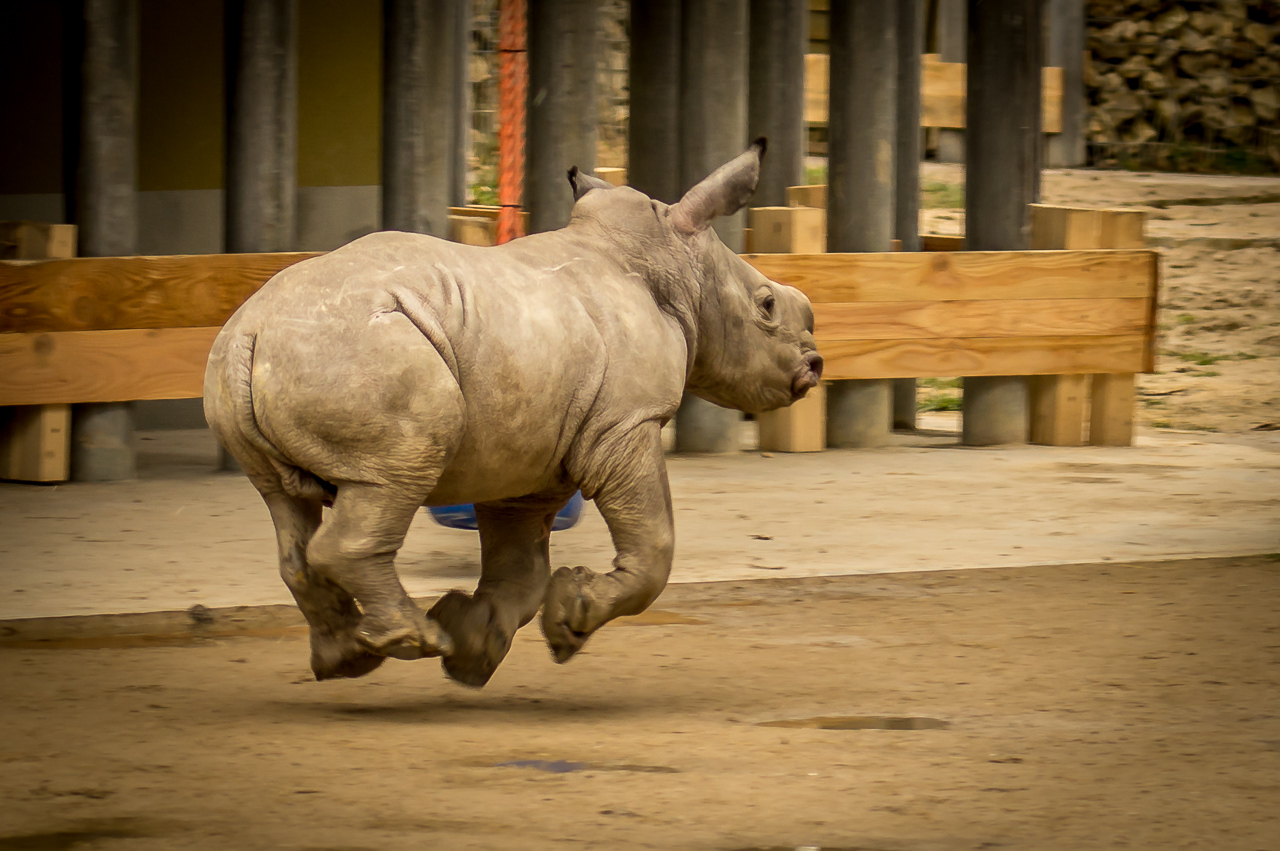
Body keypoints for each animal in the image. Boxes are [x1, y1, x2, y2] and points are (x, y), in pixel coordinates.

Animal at [199, 137, 819, 685]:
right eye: (767, 306)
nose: (813, 365)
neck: (673, 264)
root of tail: (249, 334)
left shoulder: (529, 453)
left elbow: (519, 572)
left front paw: (475, 653)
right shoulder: (625, 425)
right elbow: (654, 547)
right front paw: (569, 618)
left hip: (265, 369)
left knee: (287, 507)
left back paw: (348, 658)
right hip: (360, 354)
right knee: (388, 479)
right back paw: (413, 640)